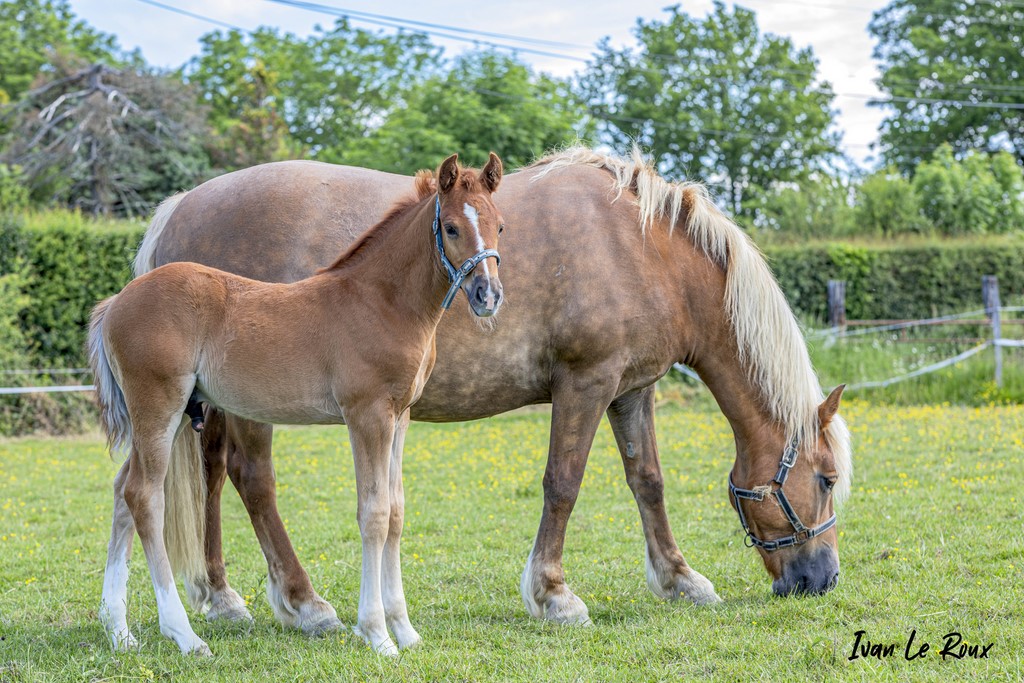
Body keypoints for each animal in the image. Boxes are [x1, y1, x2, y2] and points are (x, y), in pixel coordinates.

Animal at [140, 144, 851, 634]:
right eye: (825, 479)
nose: (821, 579)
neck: (641, 248)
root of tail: (181, 208)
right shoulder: (586, 383)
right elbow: (563, 483)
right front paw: (554, 594)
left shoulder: (631, 389)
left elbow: (647, 480)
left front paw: (679, 579)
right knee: (252, 480)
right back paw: (304, 602)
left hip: (217, 404)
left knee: (211, 476)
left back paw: (221, 596)